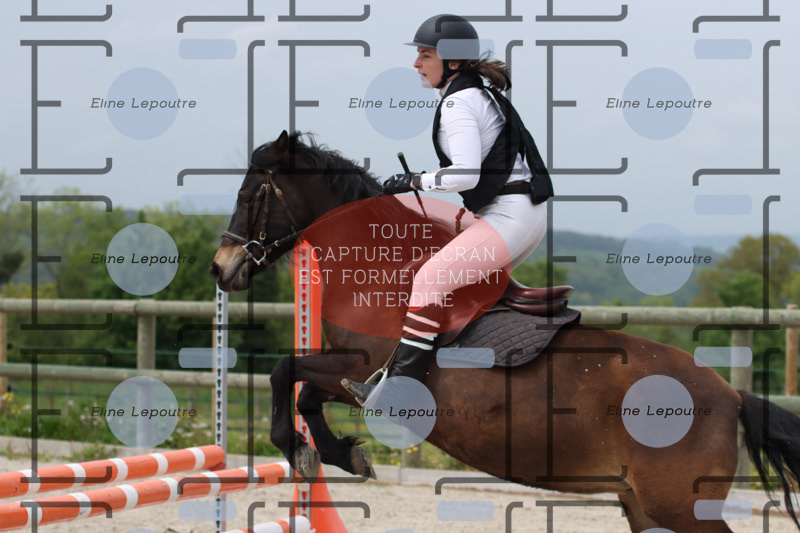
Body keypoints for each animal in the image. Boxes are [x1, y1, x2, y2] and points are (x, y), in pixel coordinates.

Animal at [210, 130, 800, 533]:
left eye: (250, 194)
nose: (220, 268)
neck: (375, 268)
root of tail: (731, 396)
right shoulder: (345, 372)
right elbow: (303, 391)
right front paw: (339, 454)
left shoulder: (357, 366)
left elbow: (285, 372)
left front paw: (302, 449)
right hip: (642, 505)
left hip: (679, 505)